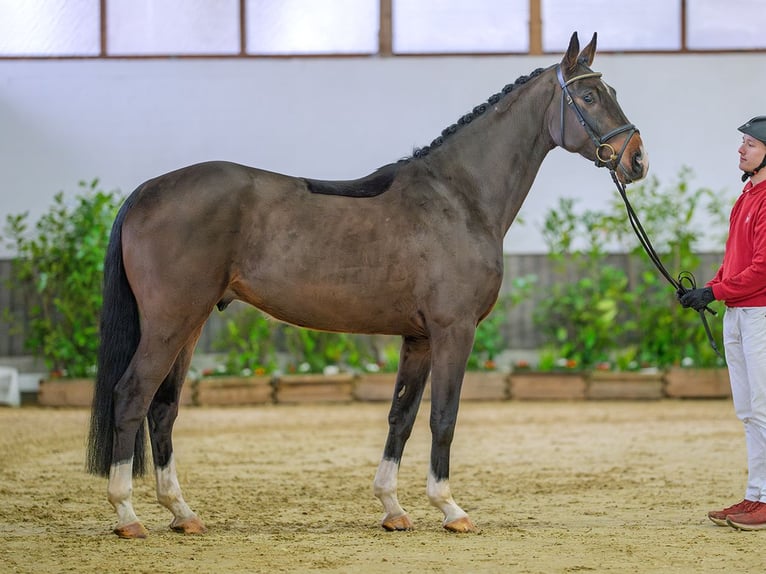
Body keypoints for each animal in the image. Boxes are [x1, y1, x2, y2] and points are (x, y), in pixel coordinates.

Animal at [85, 32, 648, 540]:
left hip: (191, 322)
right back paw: (127, 515)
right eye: (589, 97)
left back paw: (182, 513)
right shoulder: (454, 331)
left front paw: (393, 508)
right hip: (170, 321)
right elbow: (443, 417)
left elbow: (401, 416)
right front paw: (450, 509)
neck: (458, 198)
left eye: (611, 89)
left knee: (164, 409)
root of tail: (147, 191)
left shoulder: (418, 338)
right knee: (132, 396)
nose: (636, 159)